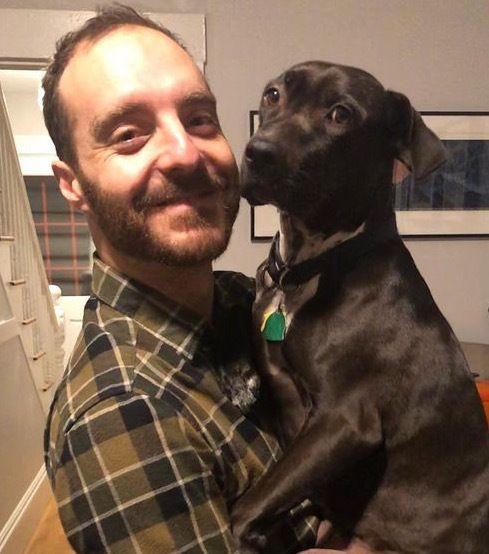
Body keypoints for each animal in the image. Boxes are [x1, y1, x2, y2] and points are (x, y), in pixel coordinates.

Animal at [232, 60, 488, 552]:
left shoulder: (346, 421)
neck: (310, 266)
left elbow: (245, 511)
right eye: (273, 94)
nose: (258, 152)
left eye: (341, 114)